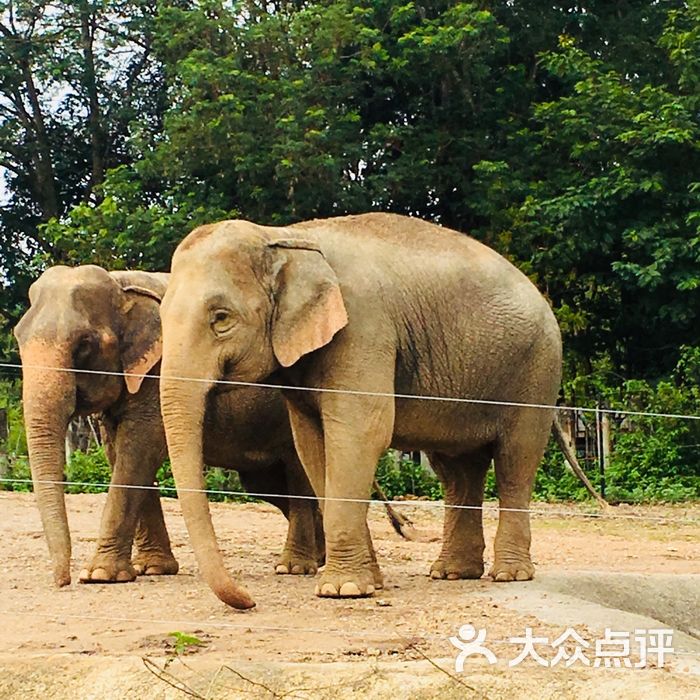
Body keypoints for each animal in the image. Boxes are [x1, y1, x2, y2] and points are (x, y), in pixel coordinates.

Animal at [13, 264, 326, 596]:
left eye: (84, 344)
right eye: (18, 337)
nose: (63, 581)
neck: (122, 284)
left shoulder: (158, 370)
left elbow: (140, 448)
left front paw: (99, 574)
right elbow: (118, 452)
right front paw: (152, 569)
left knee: (296, 474)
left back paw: (294, 567)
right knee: (266, 484)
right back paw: (320, 557)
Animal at [159, 211, 564, 608]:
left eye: (221, 318)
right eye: (161, 316)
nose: (249, 599)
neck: (284, 236)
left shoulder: (363, 328)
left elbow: (359, 434)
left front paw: (344, 590)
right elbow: (312, 444)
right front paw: (368, 582)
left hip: (537, 370)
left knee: (516, 459)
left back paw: (509, 574)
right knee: (458, 469)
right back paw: (451, 573)